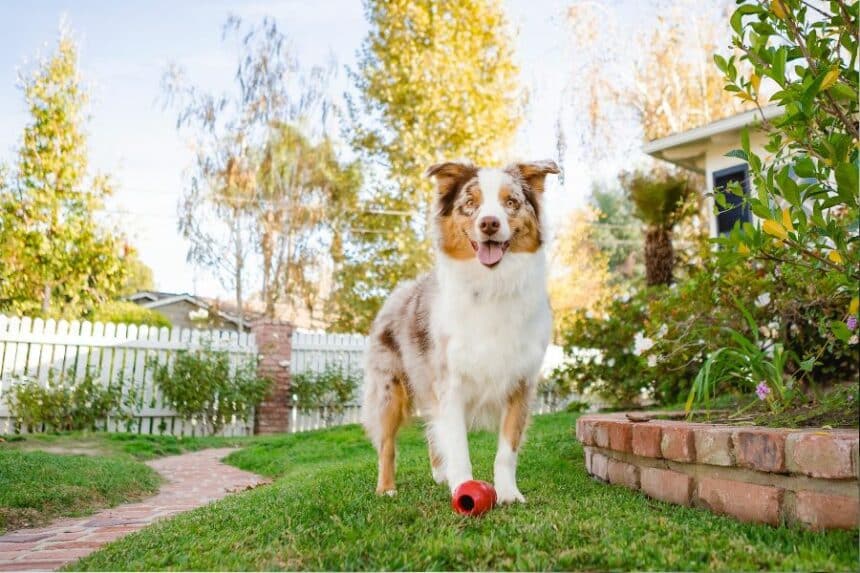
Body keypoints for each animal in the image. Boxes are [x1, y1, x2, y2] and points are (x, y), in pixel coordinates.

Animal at [358, 159, 556, 502]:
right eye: (470, 204)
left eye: (511, 202)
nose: (489, 223)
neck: (491, 286)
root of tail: (399, 291)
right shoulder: (449, 384)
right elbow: (459, 446)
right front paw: (463, 488)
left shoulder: (520, 382)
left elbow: (506, 450)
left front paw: (508, 494)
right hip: (389, 389)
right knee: (386, 445)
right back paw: (386, 488)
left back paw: (440, 474)